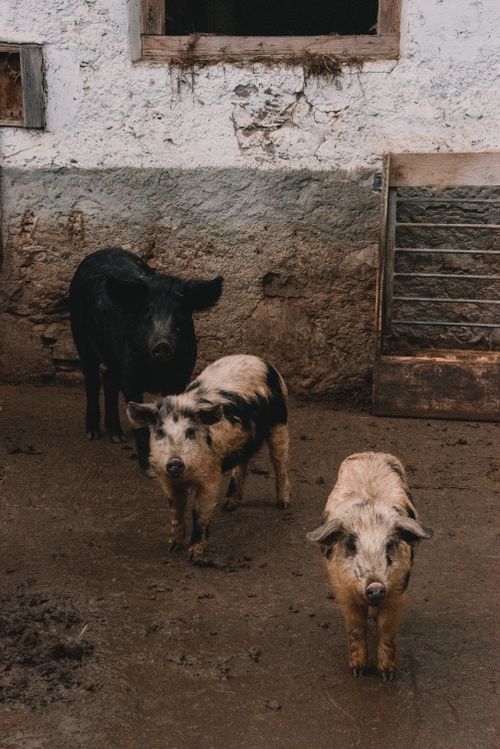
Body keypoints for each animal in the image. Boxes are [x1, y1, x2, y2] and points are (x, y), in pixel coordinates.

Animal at [68, 248, 223, 472]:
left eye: (180, 312)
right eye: (147, 311)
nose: (162, 345)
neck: (157, 371)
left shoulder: (179, 377)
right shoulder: (131, 375)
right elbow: (140, 424)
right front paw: (148, 470)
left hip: (115, 360)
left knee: (109, 381)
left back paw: (117, 437)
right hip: (81, 339)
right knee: (92, 380)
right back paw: (93, 433)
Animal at [126, 354, 291, 562]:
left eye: (190, 431)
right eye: (160, 432)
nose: (174, 462)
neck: (185, 477)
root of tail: (259, 360)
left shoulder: (211, 476)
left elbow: (199, 511)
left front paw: (194, 555)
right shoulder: (167, 480)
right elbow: (176, 510)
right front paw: (172, 547)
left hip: (280, 423)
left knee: (280, 463)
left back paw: (283, 505)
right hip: (244, 441)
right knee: (242, 464)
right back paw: (229, 505)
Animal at [307, 452, 432, 680]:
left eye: (389, 545)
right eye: (351, 545)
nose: (375, 586)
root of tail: (371, 453)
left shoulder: (398, 589)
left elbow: (387, 629)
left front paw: (388, 675)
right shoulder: (343, 590)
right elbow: (355, 627)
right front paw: (357, 671)